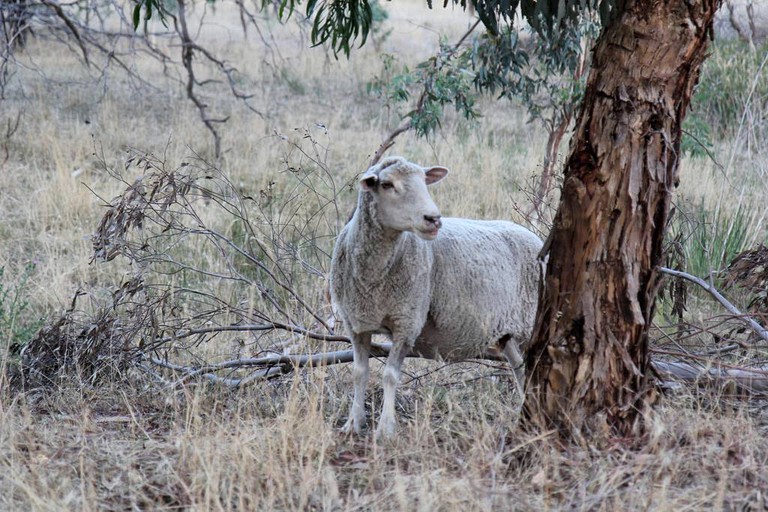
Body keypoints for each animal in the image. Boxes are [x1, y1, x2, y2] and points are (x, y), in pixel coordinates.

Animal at [332, 157, 544, 440]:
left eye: (425, 182)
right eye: (387, 184)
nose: (433, 219)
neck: (374, 276)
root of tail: (532, 234)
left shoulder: (407, 320)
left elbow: (389, 376)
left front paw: (385, 429)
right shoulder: (355, 322)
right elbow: (359, 373)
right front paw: (353, 423)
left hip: (532, 321)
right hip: (507, 334)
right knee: (520, 369)